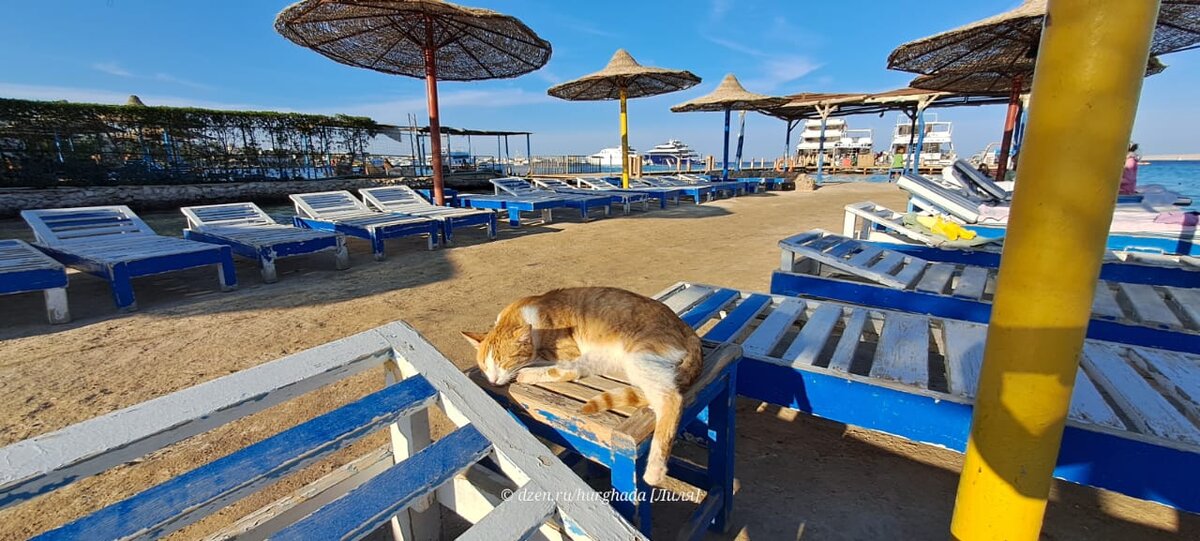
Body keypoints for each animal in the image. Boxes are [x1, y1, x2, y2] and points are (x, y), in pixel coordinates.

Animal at [460, 287, 700, 487]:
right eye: (485, 366)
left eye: (503, 363)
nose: (492, 380)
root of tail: (687, 329)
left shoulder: (564, 351)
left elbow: (542, 359)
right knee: (574, 372)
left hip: (638, 356)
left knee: (671, 398)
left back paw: (655, 471)